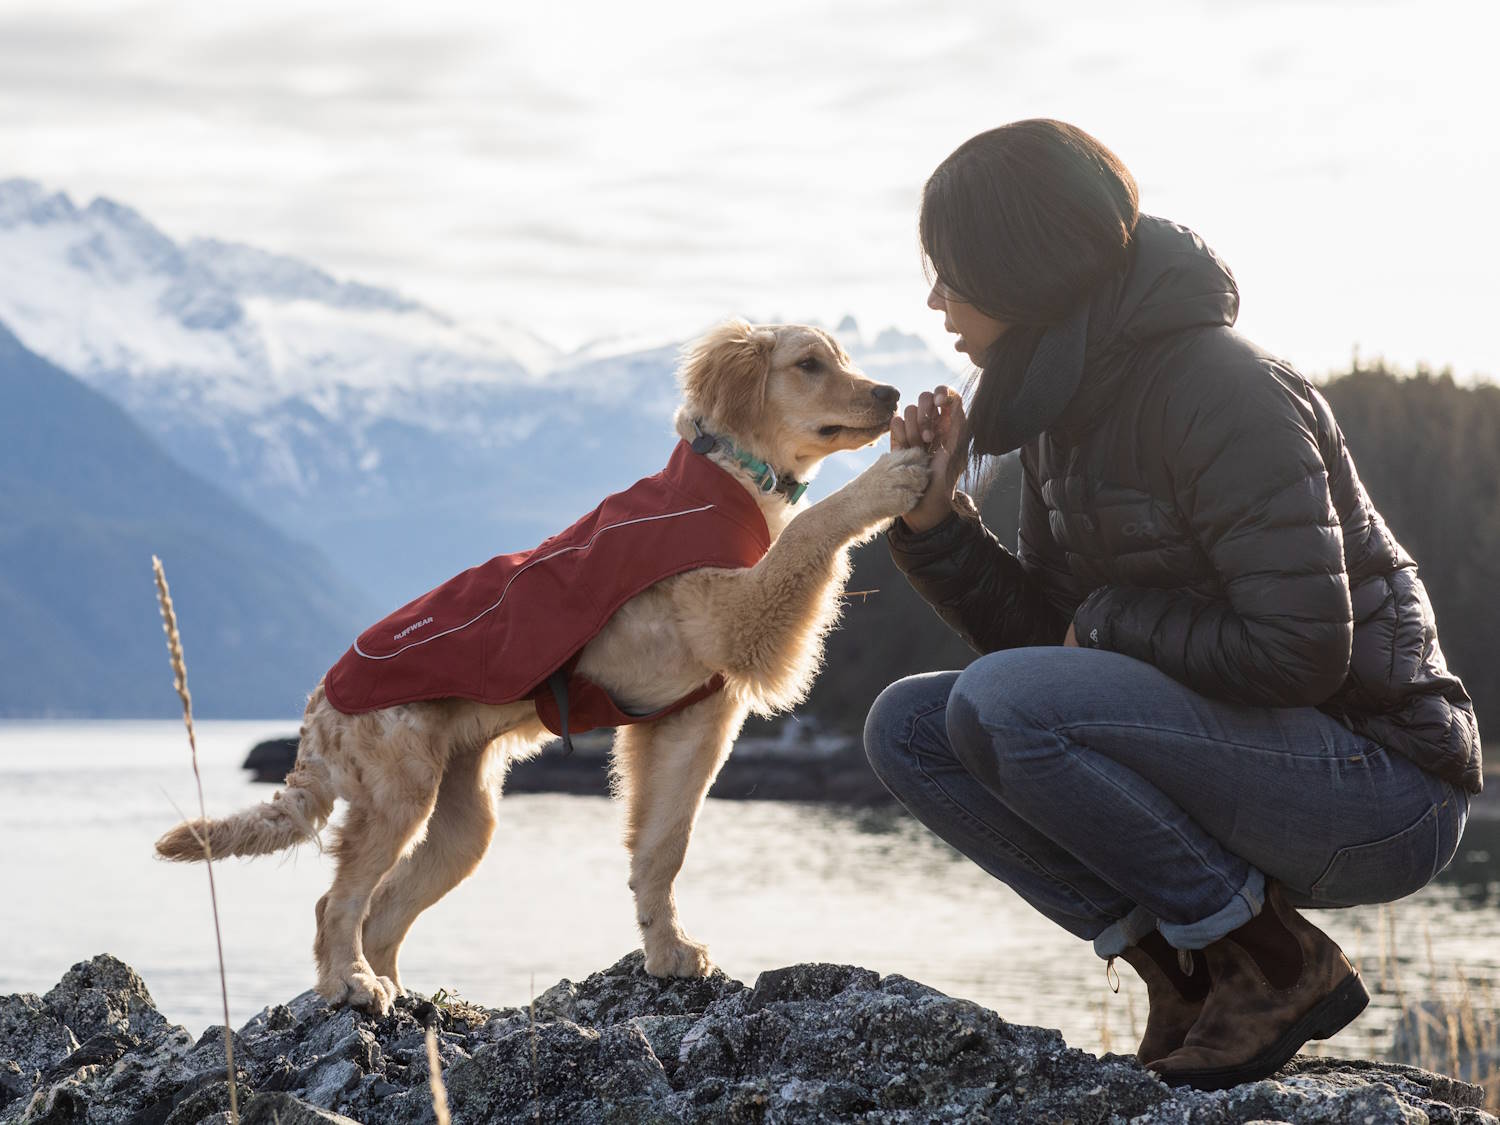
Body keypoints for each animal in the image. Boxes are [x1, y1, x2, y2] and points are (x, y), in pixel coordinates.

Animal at [155, 321, 924, 1020]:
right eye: (809, 363)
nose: (890, 394)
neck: (730, 474)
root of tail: (320, 705)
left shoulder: (692, 716)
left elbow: (662, 847)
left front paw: (668, 951)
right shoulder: (738, 615)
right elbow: (810, 529)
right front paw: (885, 481)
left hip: (464, 822)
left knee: (382, 910)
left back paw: (405, 999)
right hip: (398, 792)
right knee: (335, 902)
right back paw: (352, 984)